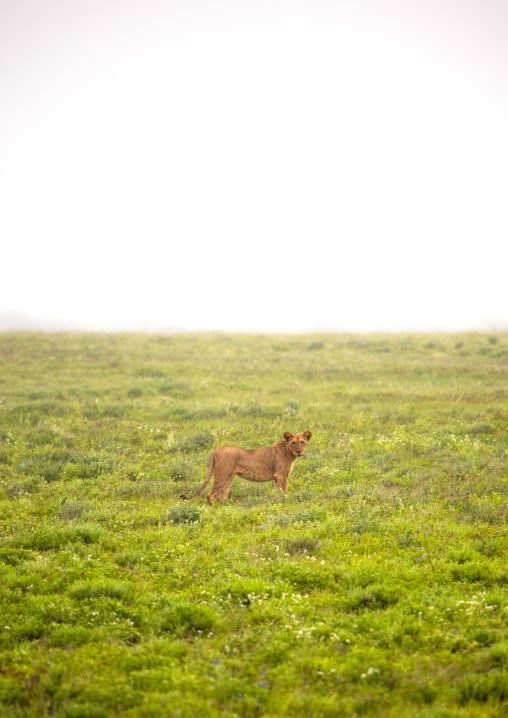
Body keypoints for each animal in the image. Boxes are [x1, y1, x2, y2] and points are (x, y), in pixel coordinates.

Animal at [181, 431, 313, 505]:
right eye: (293, 443)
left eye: (302, 442)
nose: (299, 451)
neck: (290, 453)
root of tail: (217, 449)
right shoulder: (281, 476)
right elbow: (284, 492)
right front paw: (286, 503)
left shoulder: (277, 478)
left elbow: (278, 492)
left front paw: (279, 502)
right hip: (222, 476)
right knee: (211, 495)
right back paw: (214, 511)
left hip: (229, 478)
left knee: (221, 496)